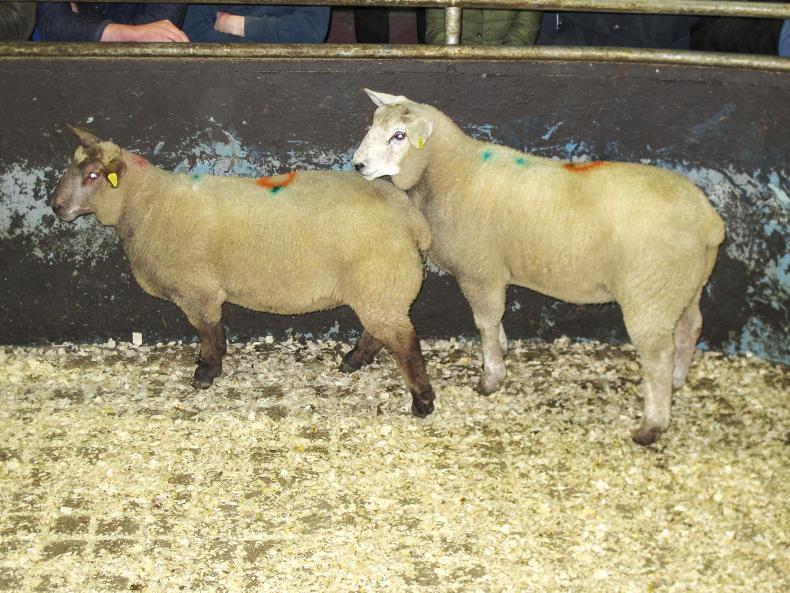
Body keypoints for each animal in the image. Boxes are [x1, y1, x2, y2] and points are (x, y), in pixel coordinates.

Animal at [49, 126, 436, 417]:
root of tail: (410, 217)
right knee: (380, 331)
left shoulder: (197, 290)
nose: (55, 207)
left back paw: (422, 400)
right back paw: (355, 360)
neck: (146, 203)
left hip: (379, 282)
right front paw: (214, 360)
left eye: (93, 176)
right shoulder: (205, 292)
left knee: (404, 342)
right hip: (378, 288)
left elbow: (206, 331)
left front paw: (206, 372)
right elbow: (214, 331)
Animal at [350, 90, 725, 445]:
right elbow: (496, 320)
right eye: (374, 125)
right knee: (690, 328)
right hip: (682, 286)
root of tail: (708, 220)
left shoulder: (480, 271)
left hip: (649, 291)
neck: (453, 173)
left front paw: (491, 377)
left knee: (658, 354)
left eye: (399, 135)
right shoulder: (492, 274)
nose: (357, 165)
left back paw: (652, 424)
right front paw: (501, 352)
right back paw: (677, 380)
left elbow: (485, 322)